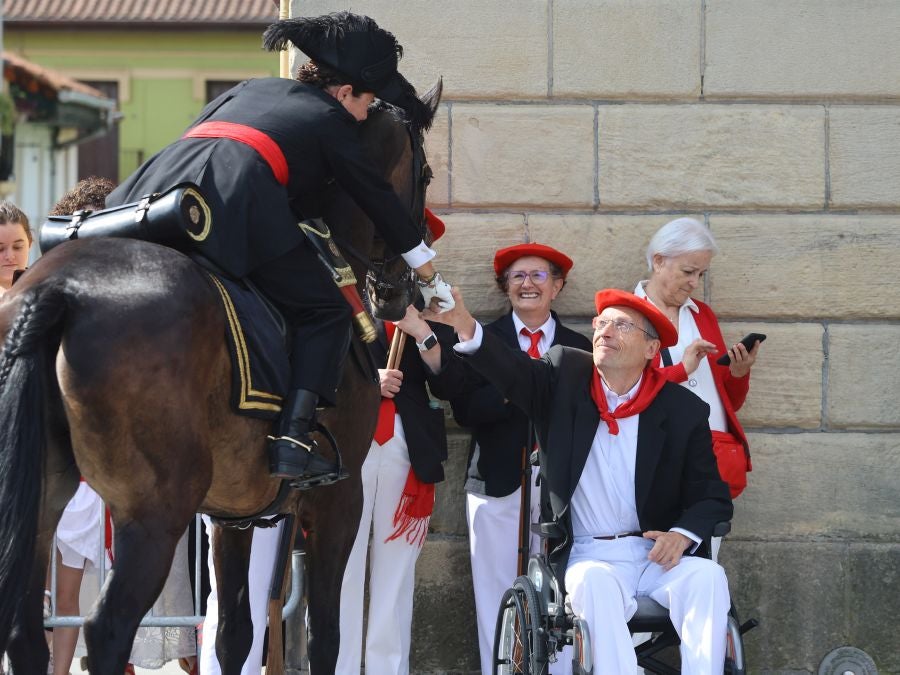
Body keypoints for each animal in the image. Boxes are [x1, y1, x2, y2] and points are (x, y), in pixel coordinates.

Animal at [0, 80, 442, 675]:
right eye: (425, 176)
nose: (401, 295)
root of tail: (59, 289)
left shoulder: (231, 513)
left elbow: (234, 634)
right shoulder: (339, 499)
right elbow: (325, 635)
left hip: (42, 502)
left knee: (25, 632)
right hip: (155, 514)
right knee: (106, 629)